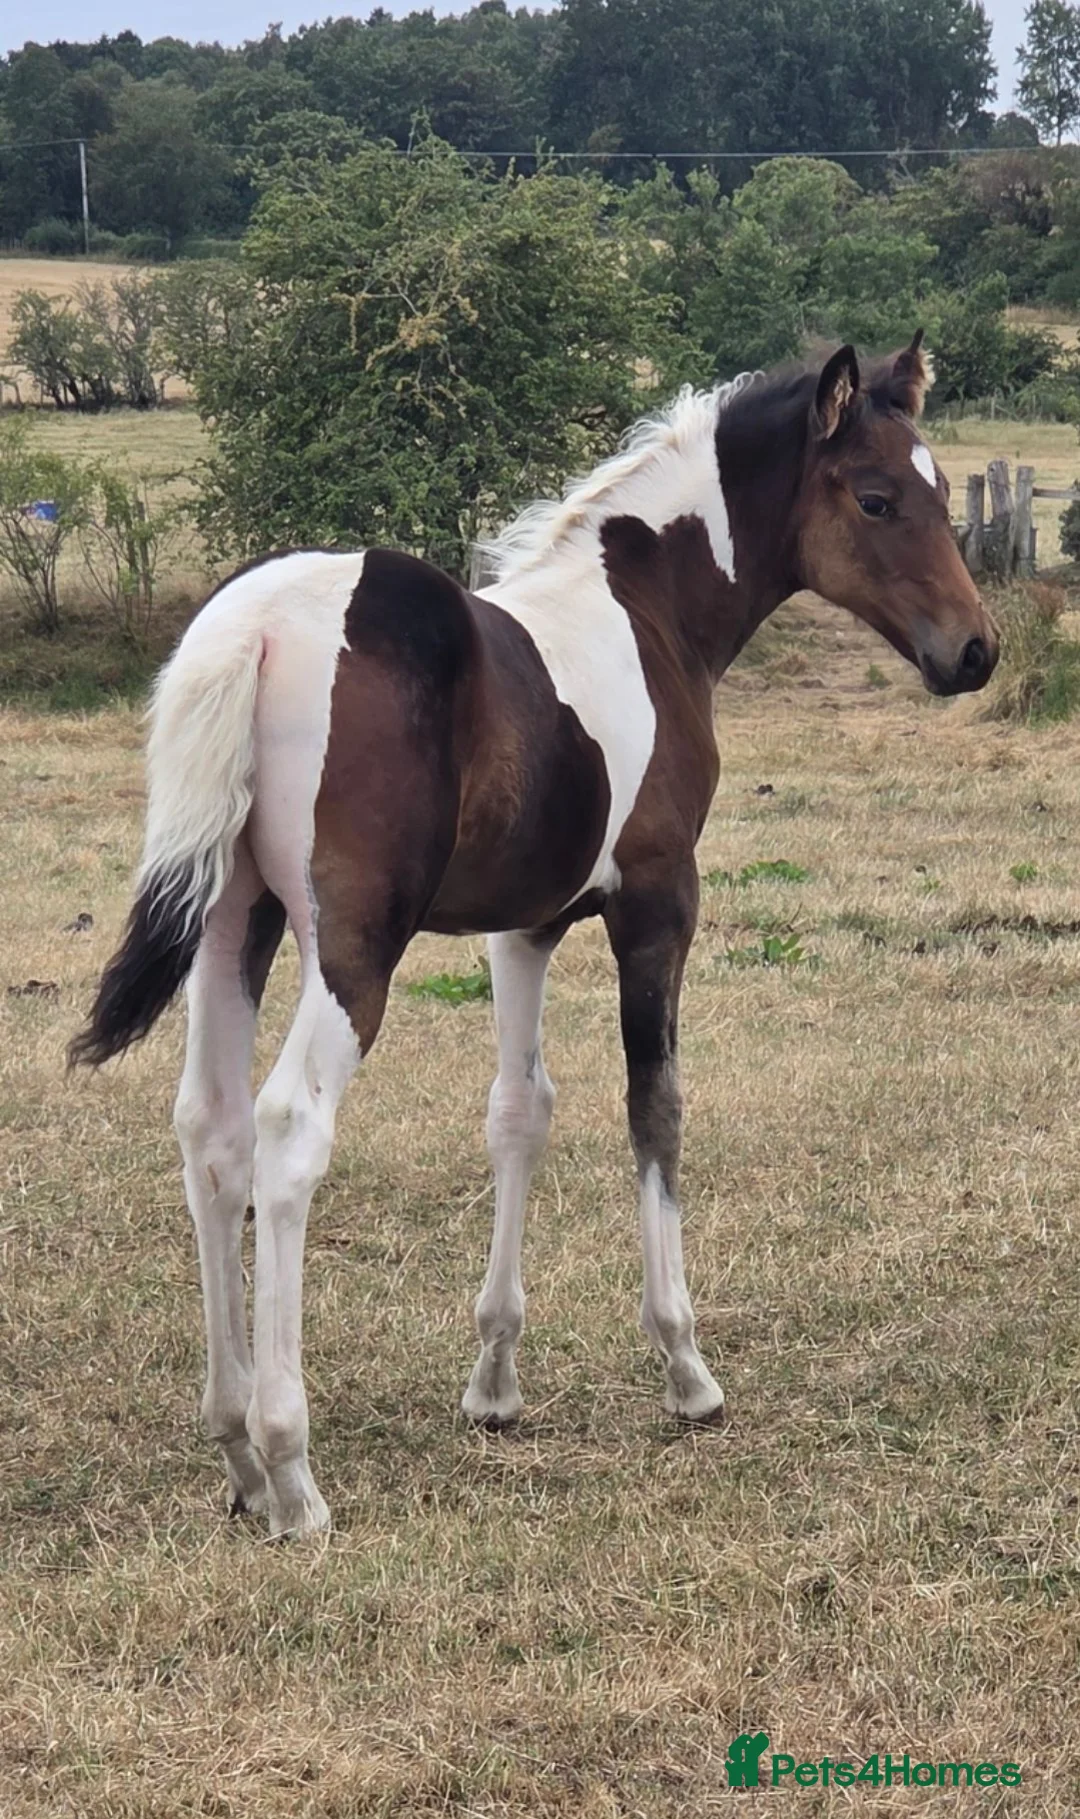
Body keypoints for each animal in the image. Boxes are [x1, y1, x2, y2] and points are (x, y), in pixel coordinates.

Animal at [71, 337, 998, 1537]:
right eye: (878, 497)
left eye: (942, 490)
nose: (974, 651)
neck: (644, 612)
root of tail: (258, 627)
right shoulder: (658, 903)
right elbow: (654, 1105)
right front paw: (685, 1367)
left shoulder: (522, 930)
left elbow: (519, 1113)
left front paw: (494, 1383)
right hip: (350, 948)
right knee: (285, 1132)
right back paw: (291, 1469)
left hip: (235, 924)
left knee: (209, 1130)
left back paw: (234, 1449)